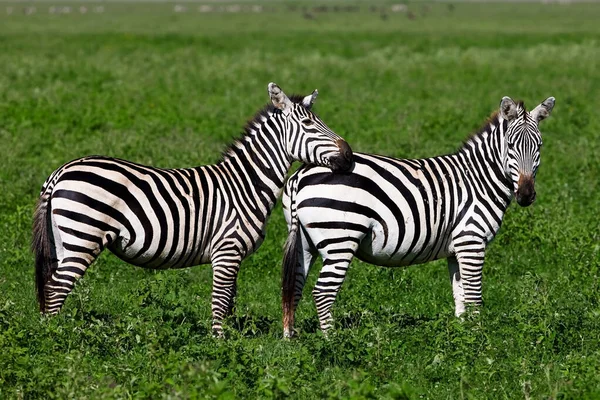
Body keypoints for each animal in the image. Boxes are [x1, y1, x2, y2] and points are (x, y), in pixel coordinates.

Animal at [31, 83, 352, 336]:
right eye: (309, 125)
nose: (348, 155)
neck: (245, 183)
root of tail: (61, 171)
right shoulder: (226, 250)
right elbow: (220, 300)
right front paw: (219, 346)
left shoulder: (233, 255)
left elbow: (229, 300)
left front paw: (232, 340)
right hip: (83, 236)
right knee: (57, 289)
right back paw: (54, 342)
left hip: (62, 239)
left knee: (48, 288)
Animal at [280, 95, 552, 336]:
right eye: (511, 146)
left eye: (539, 147)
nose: (526, 195)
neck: (479, 179)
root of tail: (301, 175)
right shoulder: (471, 240)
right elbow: (474, 295)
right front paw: (478, 338)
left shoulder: (456, 248)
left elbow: (460, 294)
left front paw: (462, 334)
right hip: (340, 240)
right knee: (322, 292)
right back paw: (331, 342)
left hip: (305, 241)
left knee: (293, 286)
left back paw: (291, 341)